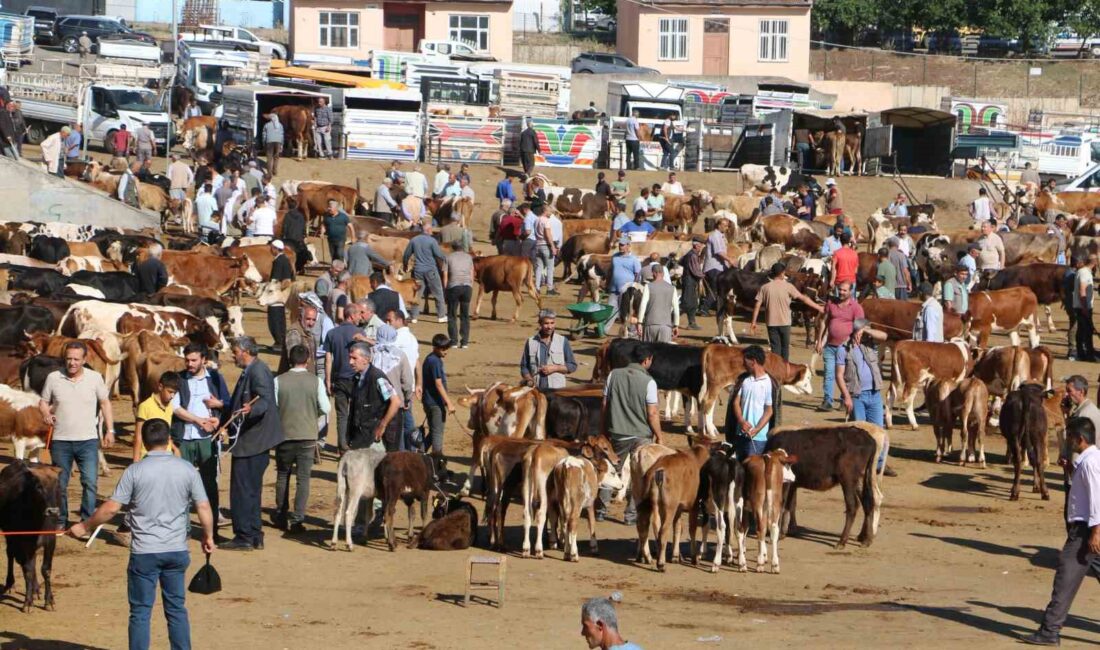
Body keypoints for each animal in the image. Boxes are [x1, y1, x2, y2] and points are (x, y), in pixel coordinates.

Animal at [0, 459, 61, 611]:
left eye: (57, 486)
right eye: (38, 487)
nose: (53, 511)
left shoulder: (50, 541)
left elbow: (45, 569)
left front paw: (49, 600)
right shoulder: (24, 541)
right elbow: (27, 569)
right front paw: (27, 602)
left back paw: (36, 589)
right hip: (10, 537)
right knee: (10, 554)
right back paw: (11, 584)